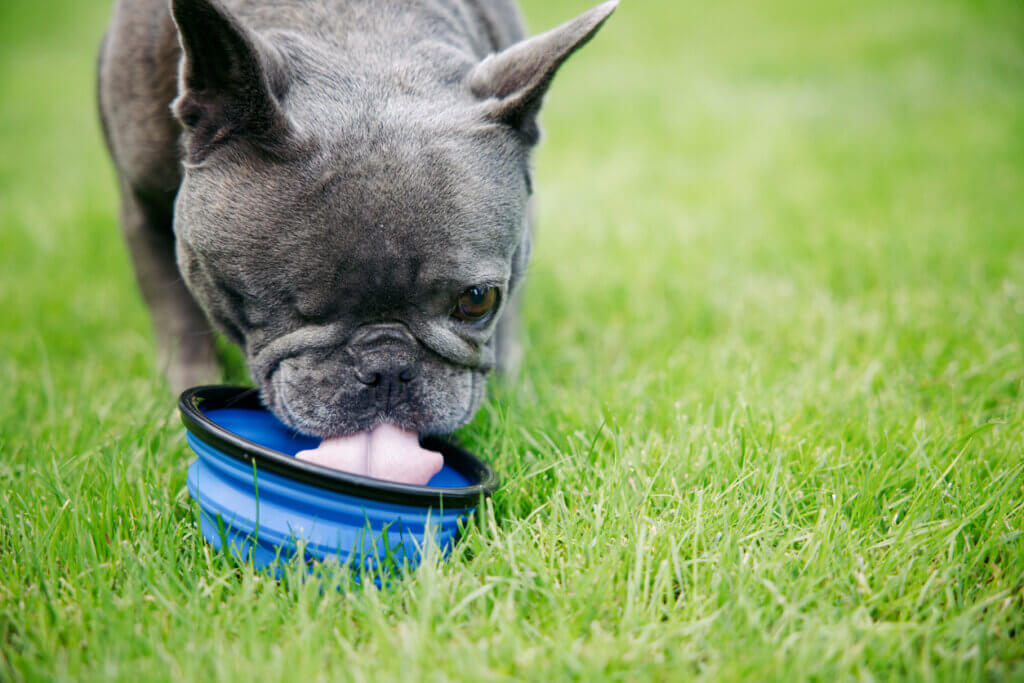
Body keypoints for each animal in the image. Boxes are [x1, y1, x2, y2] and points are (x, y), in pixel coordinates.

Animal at [99, 0, 614, 444]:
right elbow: (177, 315)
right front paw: (180, 400)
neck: (354, 32)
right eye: (288, 305)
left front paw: (510, 395)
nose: (388, 367)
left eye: (477, 301)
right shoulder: (142, 207)